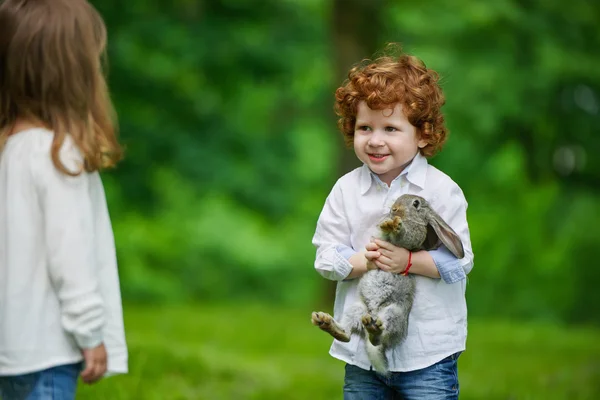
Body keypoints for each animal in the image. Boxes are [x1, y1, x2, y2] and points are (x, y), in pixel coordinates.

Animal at [312, 194, 466, 376]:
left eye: (416, 203)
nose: (394, 209)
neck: (409, 218)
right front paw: (387, 224)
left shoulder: (413, 235)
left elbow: (404, 235)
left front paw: (395, 226)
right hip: (356, 310)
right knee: (347, 335)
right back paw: (326, 322)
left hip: (393, 314)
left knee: (380, 337)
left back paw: (373, 330)